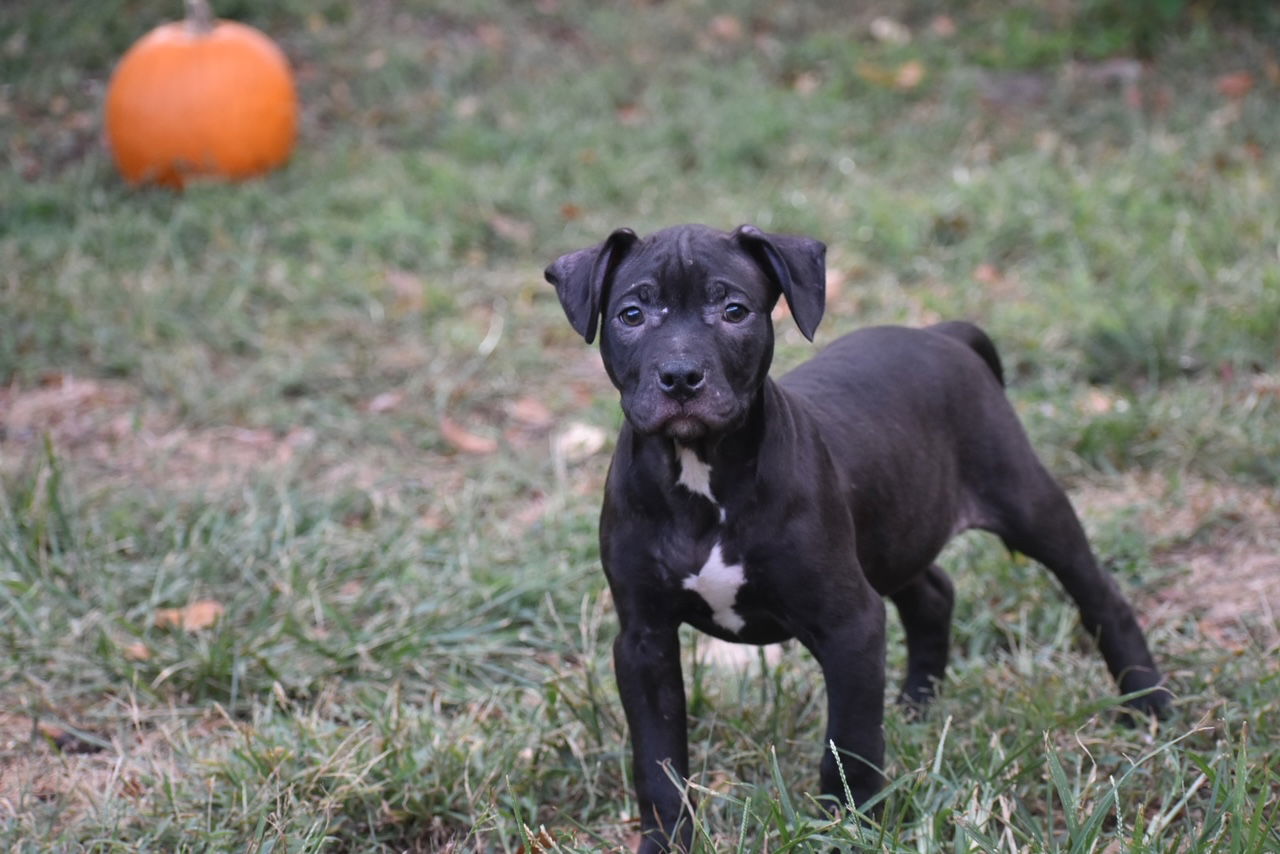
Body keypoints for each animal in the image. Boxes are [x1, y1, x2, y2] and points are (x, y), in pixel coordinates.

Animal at [545, 224, 1167, 850]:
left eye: (734, 310)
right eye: (631, 314)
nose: (679, 377)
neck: (700, 473)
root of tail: (942, 335)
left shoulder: (851, 624)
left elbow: (851, 742)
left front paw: (852, 825)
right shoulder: (643, 642)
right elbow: (659, 761)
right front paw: (666, 841)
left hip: (1025, 500)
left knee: (1098, 593)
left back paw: (1148, 706)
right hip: (895, 527)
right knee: (933, 594)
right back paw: (917, 705)